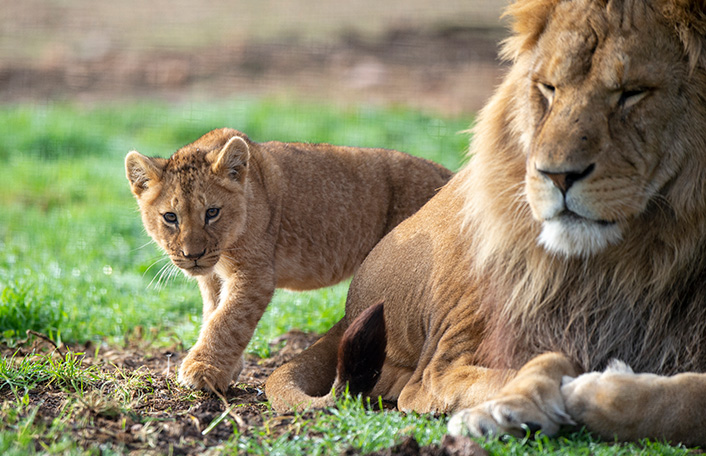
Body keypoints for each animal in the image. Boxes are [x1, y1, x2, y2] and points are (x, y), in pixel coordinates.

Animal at [125, 128, 451, 391]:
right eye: (170, 217)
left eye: (212, 212)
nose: (193, 256)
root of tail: (449, 175)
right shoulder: (212, 276)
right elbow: (213, 313)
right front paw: (226, 369)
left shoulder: (255, 274)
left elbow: (228, 320)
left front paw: (202, 370)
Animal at [265, 0, 706, 446]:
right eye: (548, 89)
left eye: (633, 93)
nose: (556, 175)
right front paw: (533, 400)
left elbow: (685, 400)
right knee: (426, 380)